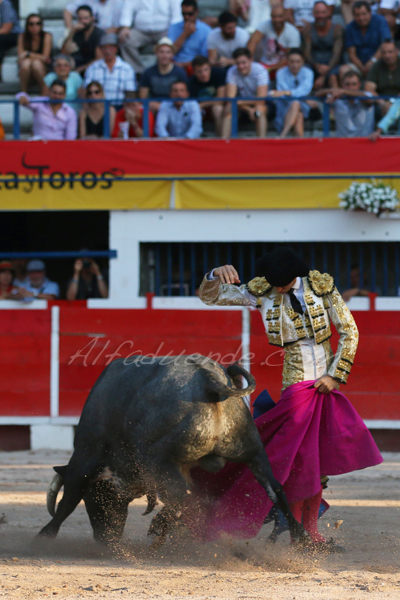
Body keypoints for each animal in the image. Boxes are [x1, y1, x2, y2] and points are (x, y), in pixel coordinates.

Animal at [39, 358, 306, 548]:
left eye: (95, 497)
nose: (105, 538)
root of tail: (208, 378)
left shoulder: (86, 452)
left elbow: (69, 498)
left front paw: (43, 536)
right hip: (252, 450)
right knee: (274, 488)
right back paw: (304, 541)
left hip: (159, 458)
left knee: (182, 496)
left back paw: (161, 529)